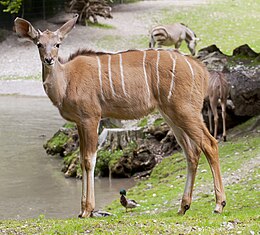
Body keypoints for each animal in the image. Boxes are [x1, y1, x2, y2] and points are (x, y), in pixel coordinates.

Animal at [14, 14, 225, 217]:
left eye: (58, 44)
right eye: (39, 44)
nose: (49, 59)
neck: (67, 80)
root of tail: (202, 70)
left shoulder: (91, 117)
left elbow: (89, 160)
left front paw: (88, 210)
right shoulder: (80, 122)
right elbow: (81, 159)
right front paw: (82, 211)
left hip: (185, 110)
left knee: (210, 143)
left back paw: (219, 204)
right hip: (171, 114)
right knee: (191, 152)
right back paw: (183, 206)